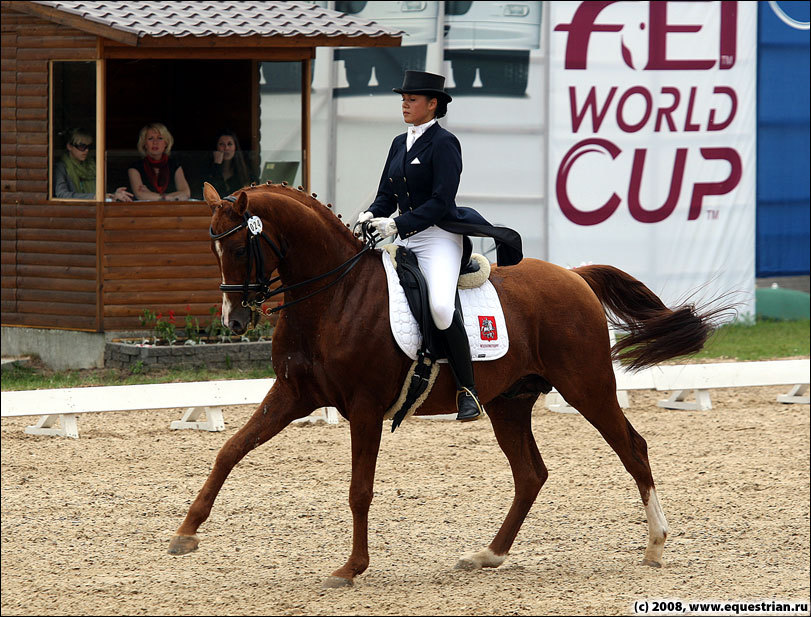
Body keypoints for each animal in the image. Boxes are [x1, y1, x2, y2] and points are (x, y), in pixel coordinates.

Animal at [168, 180, 728, 584]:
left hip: (587, 388)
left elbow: (359, 489)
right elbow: (230, 450)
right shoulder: (292, 394)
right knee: (530, 474)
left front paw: (351, 568)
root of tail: (575, 276)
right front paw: (185, 534)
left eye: (241, 246)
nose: (235, 320)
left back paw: (655, 544)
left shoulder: (366, 408)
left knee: (632, 448)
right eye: (213, 249)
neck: (333, 296)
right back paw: (486, 556)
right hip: (508, 402)